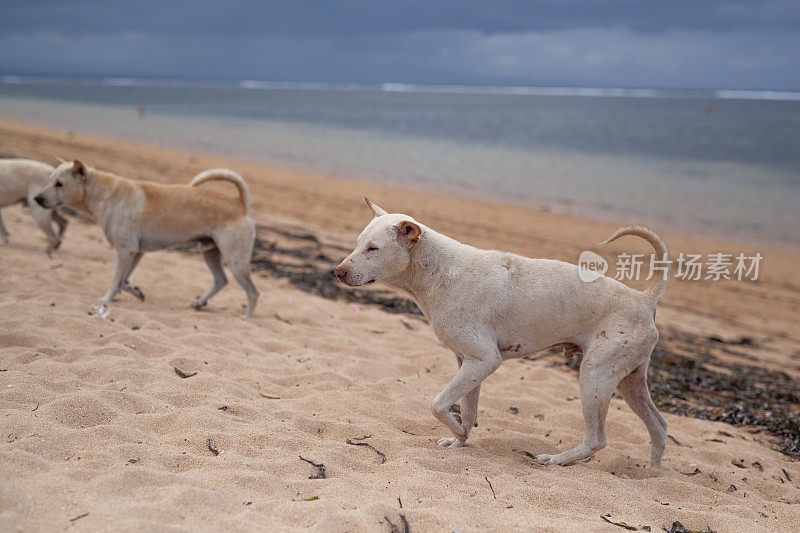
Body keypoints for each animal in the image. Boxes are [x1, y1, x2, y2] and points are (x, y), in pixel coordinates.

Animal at [36, 158, 260, 316]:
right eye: (50, 180)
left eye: (59, 184)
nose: (37, 199)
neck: (104, 194)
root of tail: (239, 204)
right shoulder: (136, 253)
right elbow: (124, 280)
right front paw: (135, 292)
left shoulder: (125, 251)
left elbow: (115, 280)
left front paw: (106, 299)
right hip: (210, 252)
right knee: (221, 280)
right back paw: (200, 302)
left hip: (236, 261)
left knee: (253, 292)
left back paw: (246, 317)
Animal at [334, 198, 672, 466]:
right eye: (358, 242)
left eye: (373, 248)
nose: (337, 272)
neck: (439, 270)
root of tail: (644, 299)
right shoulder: (468, 363)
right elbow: (467, 410)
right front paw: (460, 440)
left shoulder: (484, 360)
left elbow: (438, 404)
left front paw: (457, 431)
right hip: (629, 382)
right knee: (659, 426)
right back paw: (652, 476)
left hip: (595, 377)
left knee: (598, 440)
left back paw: (557, 460)